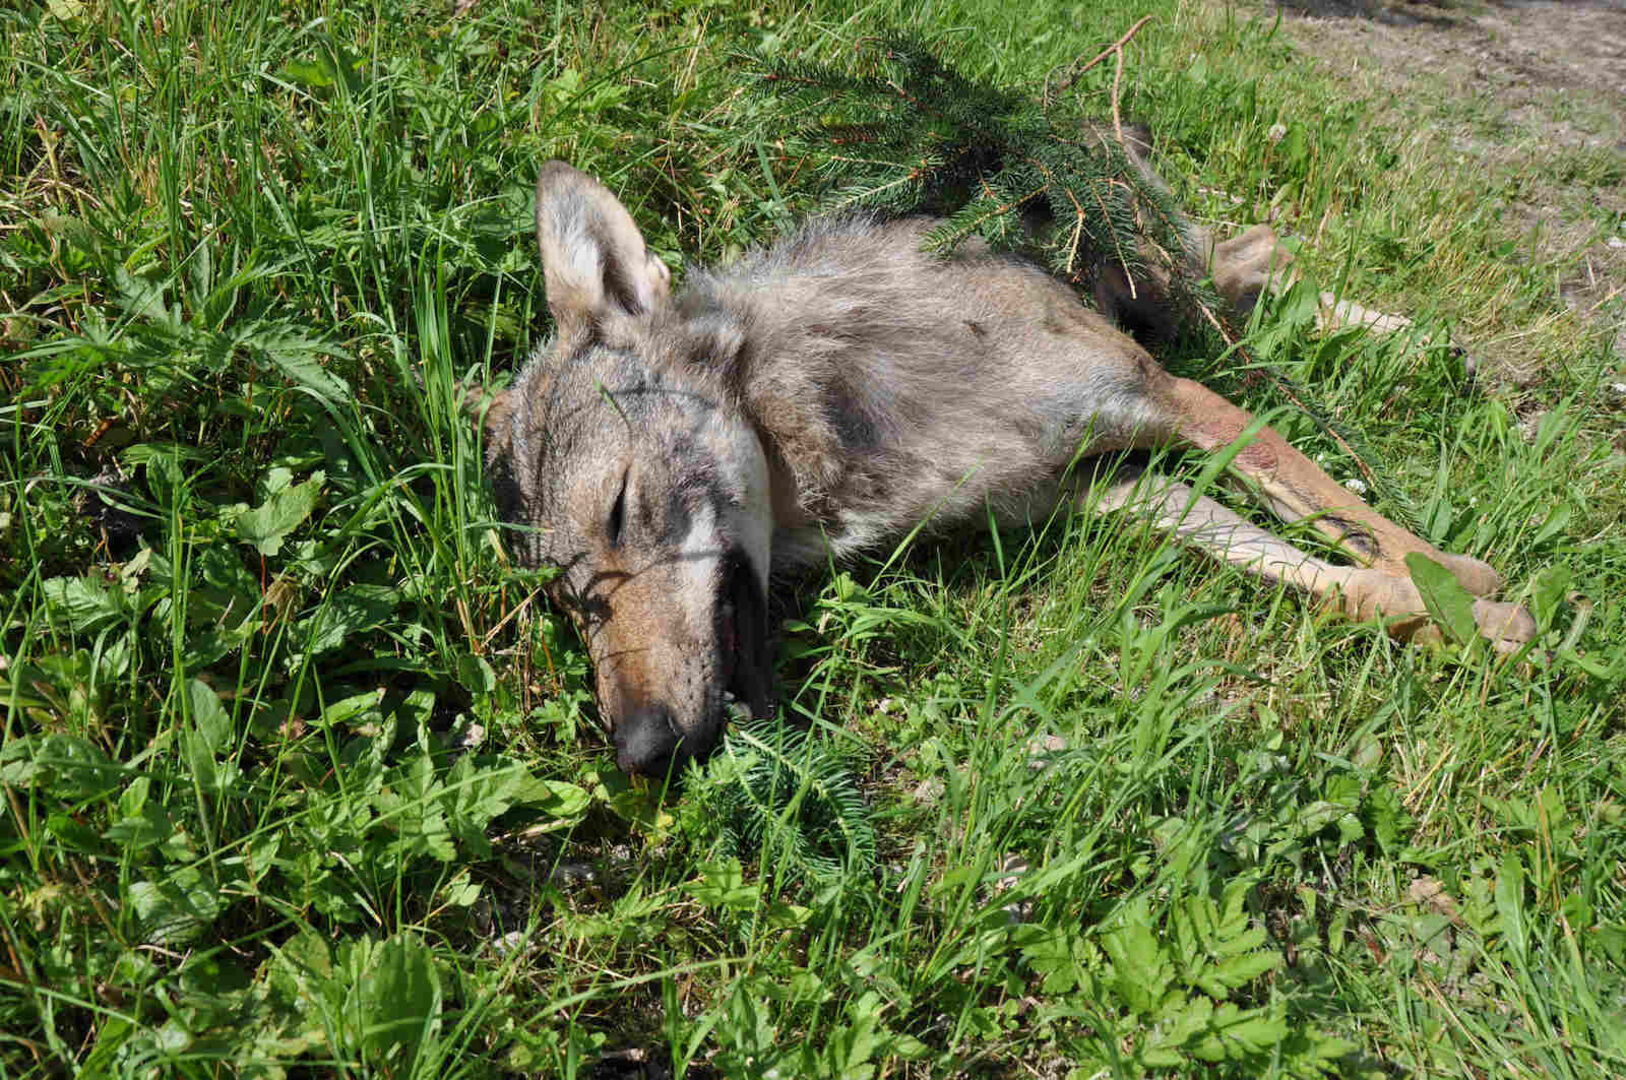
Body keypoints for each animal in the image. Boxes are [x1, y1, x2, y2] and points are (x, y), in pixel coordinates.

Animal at [482, 159, 1536, 778]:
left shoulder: (1174, 400)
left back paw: (1429, 347)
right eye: (572, 600)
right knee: (1259, 272)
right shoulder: (1121, 491)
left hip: (1173, 292)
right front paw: (1451, 618)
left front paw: (1469, 585)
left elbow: (1341, 510)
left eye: (622, 511)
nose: (638, 751)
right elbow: (1326, 576)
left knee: (1265, 259)